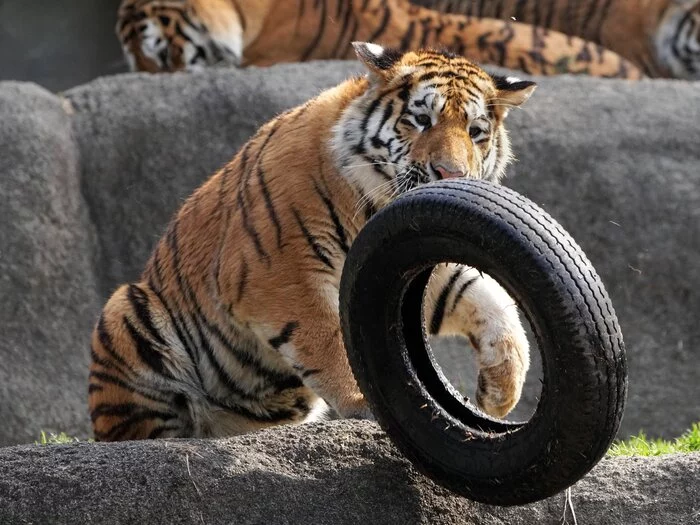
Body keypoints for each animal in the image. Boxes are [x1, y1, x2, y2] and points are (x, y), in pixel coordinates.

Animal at [89, 43, 536, 440]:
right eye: (422, 119)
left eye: (476, 132)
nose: (451, 174)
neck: (374, 201)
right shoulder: (281, 274)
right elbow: (327, 341)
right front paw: (362, 401)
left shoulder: (422, 268)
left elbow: (492, 302)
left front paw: (499, 393)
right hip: (127, 310)